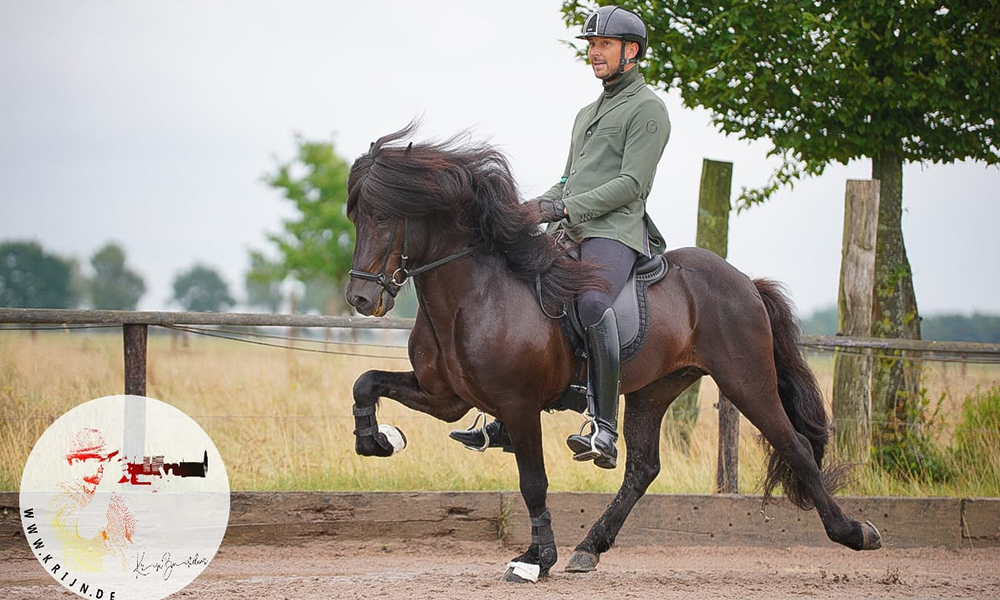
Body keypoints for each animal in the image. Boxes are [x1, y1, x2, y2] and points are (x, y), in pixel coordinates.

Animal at [344, 125, 884, 580]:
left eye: (384, 216)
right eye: (356, 217)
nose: (361, 300)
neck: (474, 293)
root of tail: (745, 282)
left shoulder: (519, 406)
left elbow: (533, 482)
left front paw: (535, 560)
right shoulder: (446, 398)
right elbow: (365, 382)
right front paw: (378, 440)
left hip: (746, 380)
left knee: (794, 446)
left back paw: (856, 532)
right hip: (654, 389)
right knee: (642, 469)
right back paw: (590, 546)